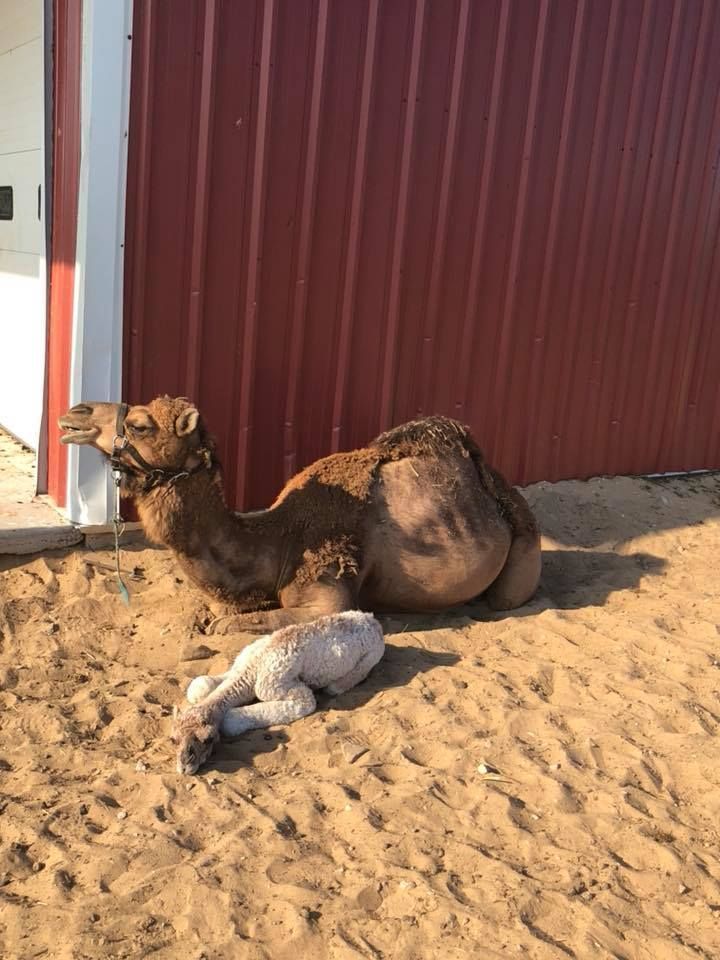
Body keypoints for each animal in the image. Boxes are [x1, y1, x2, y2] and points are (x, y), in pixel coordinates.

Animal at [59, 395, 541, 629]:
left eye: (140, 425)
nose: (74, 413)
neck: (277, 540)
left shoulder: (330, 596)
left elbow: (248, 624)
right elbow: (221, 615)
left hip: (523, 547)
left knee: (504, 597)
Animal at [173, 610, 385, 774]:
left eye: (208, 739)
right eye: (173, 739)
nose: (185, 767)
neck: (252, 670)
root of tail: (373, 621)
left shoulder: (285, 689)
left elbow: (230, 720)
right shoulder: (239, 666)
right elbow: (201, 685)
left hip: (371, 656)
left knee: (339, 685)